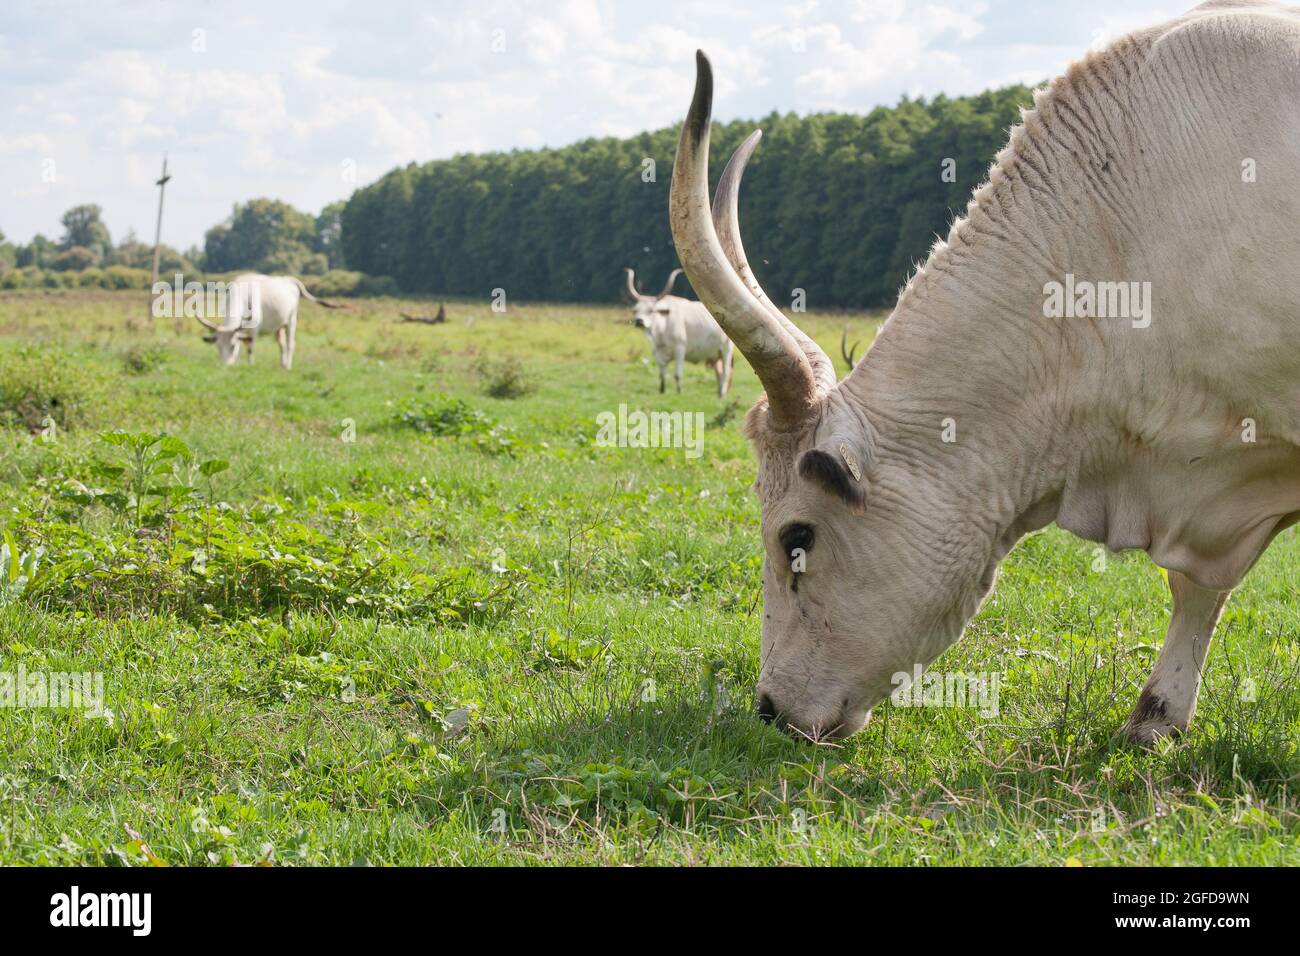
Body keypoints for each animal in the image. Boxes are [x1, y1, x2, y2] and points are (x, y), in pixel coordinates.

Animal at [626, 265, 738, 395]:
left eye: (651, 310)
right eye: (635, 310)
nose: (639, 321)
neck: (662, 330)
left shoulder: (680, 348)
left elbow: (677, 374)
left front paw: (679, 391)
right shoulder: (657, 352)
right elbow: (662, 374)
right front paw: (662, 391)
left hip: (726, 348)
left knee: (725, 372)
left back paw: (722, 393)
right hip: (715, 354)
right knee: (719, 372)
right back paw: (719, 393)